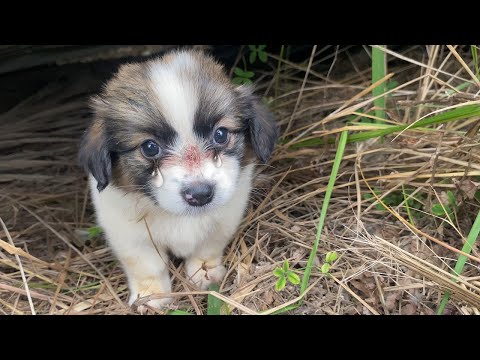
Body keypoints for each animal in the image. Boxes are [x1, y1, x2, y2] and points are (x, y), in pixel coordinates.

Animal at [79, 49, 278, 310]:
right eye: (150, 147)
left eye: (220, 134)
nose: (201, 194)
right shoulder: (128, 234)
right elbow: (147, 265)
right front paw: (151, 296)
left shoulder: (224, 220)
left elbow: (206, 248)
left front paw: (204, 273)